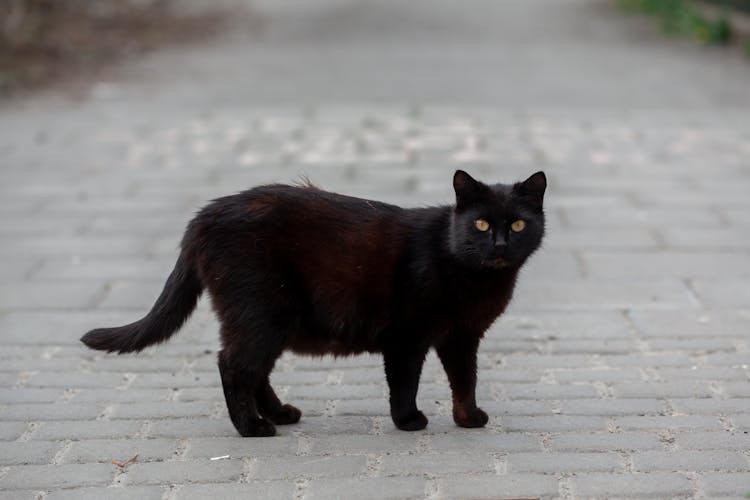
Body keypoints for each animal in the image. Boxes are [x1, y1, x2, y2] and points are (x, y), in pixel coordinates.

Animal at [82, 170, 548, 436]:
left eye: (517, 224)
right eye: (482, 224)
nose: (500, 244)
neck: (476, 276)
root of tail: (204, 215)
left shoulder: (461, 337)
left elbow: (465, 380)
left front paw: (468, 418)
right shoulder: (406, 337)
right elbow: (405, 383)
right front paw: (407, 421)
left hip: (269, 321)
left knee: (254, 370)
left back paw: (279, 414)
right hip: (261, 313)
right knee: (233, 366)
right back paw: (253, 428)